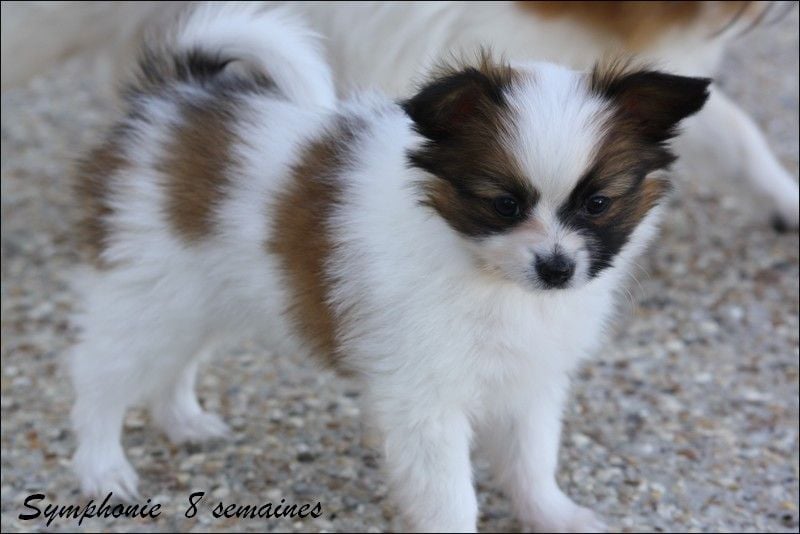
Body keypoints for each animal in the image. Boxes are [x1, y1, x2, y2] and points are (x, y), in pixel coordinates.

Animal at [69, 4, 709, 531]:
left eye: (598, 203)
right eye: (504, 204)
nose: (555, 269)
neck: (482, 271)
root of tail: (176, 95)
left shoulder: (528, 380)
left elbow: (532, 460)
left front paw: (554, 516)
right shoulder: (423, 399)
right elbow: (451, 499)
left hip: (201, 299)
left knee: (175, 362)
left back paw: (183, 421)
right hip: (148, 291)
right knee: (101, 379)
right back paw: (102, 470)